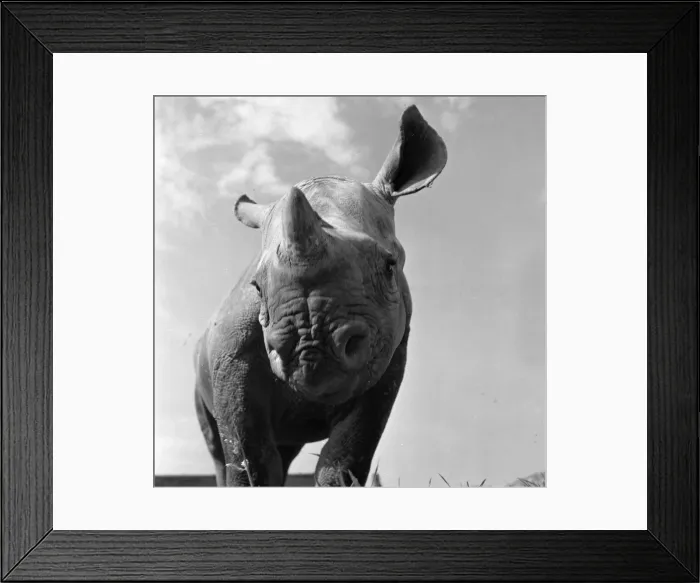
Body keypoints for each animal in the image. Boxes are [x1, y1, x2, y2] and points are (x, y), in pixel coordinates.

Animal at [193, 105, 447, 486]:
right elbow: (249, 459)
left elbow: (345, 457)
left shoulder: (391, 357)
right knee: (219, 449)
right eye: (257, 288)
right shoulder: (231, 358)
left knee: (285, 448)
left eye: (390, 267)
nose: (310, 349)